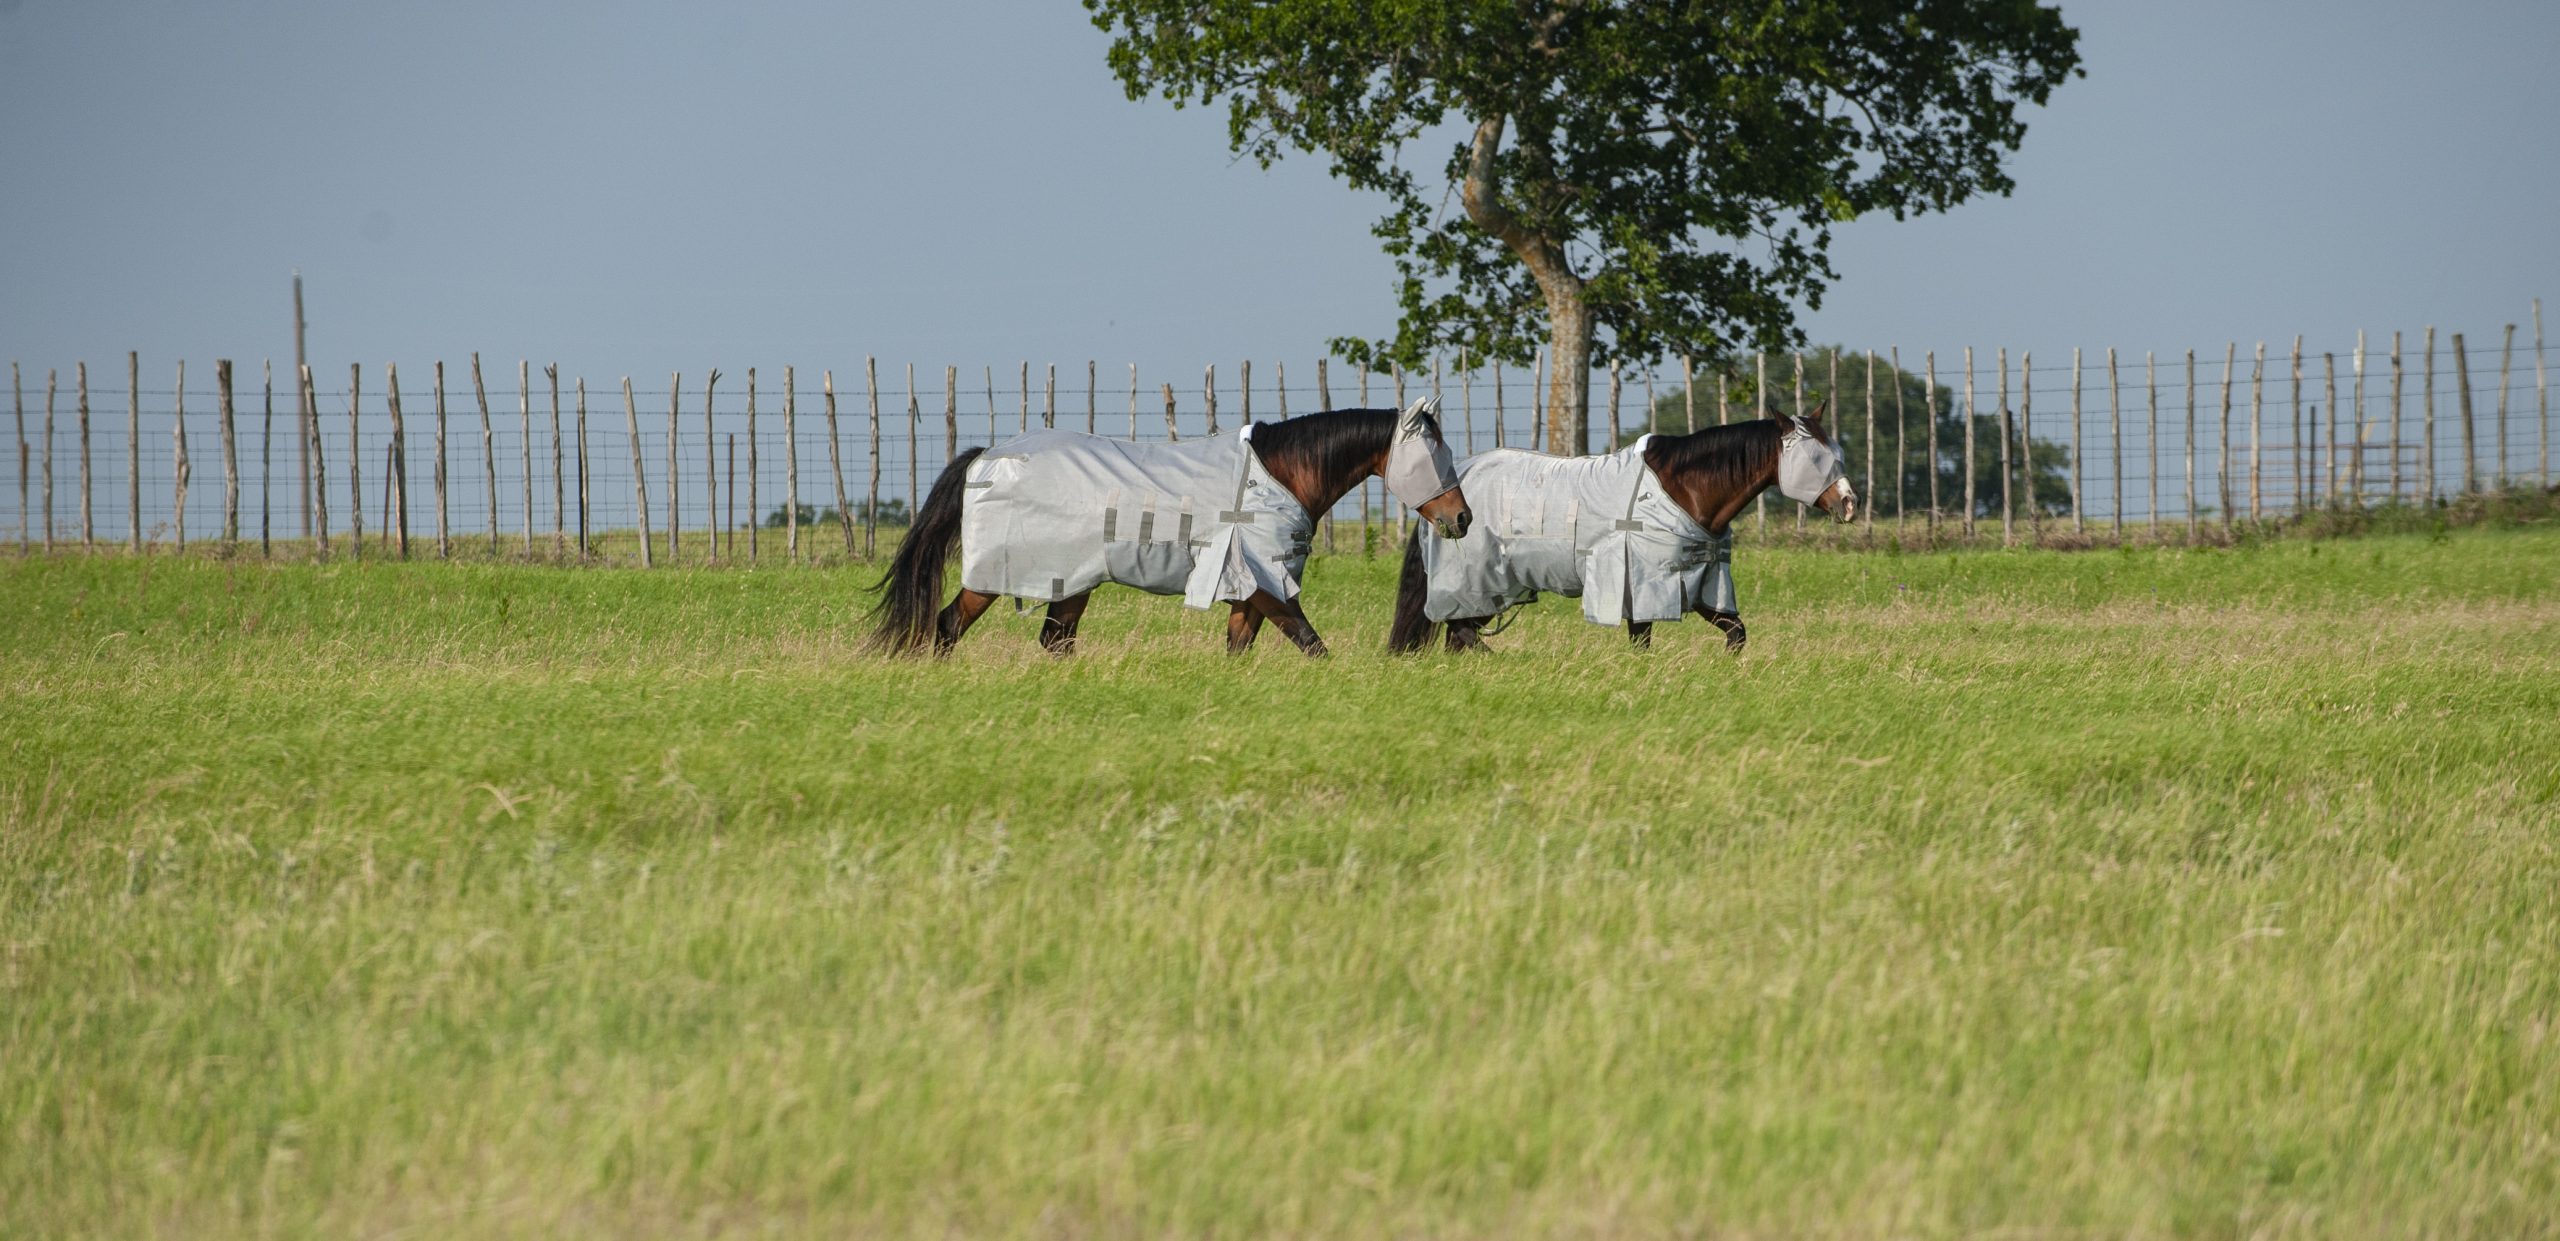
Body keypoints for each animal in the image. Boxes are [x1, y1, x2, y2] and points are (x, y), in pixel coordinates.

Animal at [872, 399, 1472, 657]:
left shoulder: (1247, 592)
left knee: (1055, 641)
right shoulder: (1268, 585)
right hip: (996, 579)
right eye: (1433, 453)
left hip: (1073, 582)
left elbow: (1239, 649)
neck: (1276, 476)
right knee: (948, 626)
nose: (1462, 518)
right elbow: (1311, 642)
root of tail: (986, 458)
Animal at [1387, 406, 1854, 655]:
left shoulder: (1700, 584)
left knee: (1458, 636)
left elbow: (1737, 634)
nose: (1850, 503)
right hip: (1483, 583)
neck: (1682, 489)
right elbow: (1642, 643)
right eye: (1815, 459)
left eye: (1836, 451)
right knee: (1463, 633)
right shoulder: (1643, 585)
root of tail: (1449, 490)